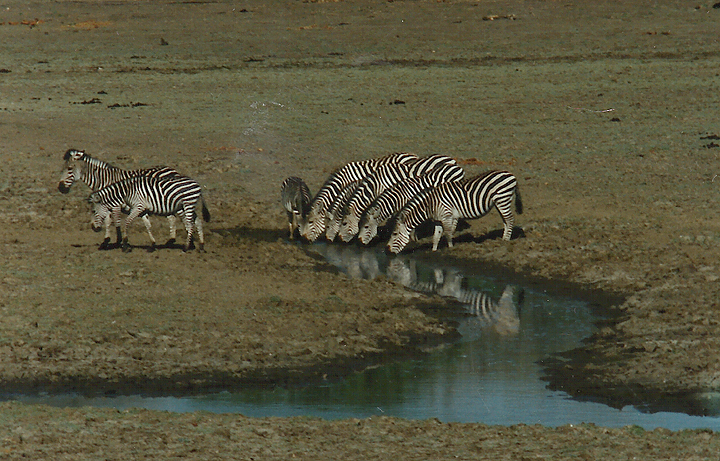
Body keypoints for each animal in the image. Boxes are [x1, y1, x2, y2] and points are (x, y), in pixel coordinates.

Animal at [388, 170, 524, 253]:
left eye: (394, 234)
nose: (386, 250)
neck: (430, 205)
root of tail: (511, 174)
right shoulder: (439, 220)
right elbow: (436, 236)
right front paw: (434, 250)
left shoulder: (447, 216)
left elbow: (448, 233)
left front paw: (450, 248)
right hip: (499, 202)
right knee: (505, 220)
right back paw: (503, 238)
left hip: (503, 198)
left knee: (510, 219)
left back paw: (506, 241)